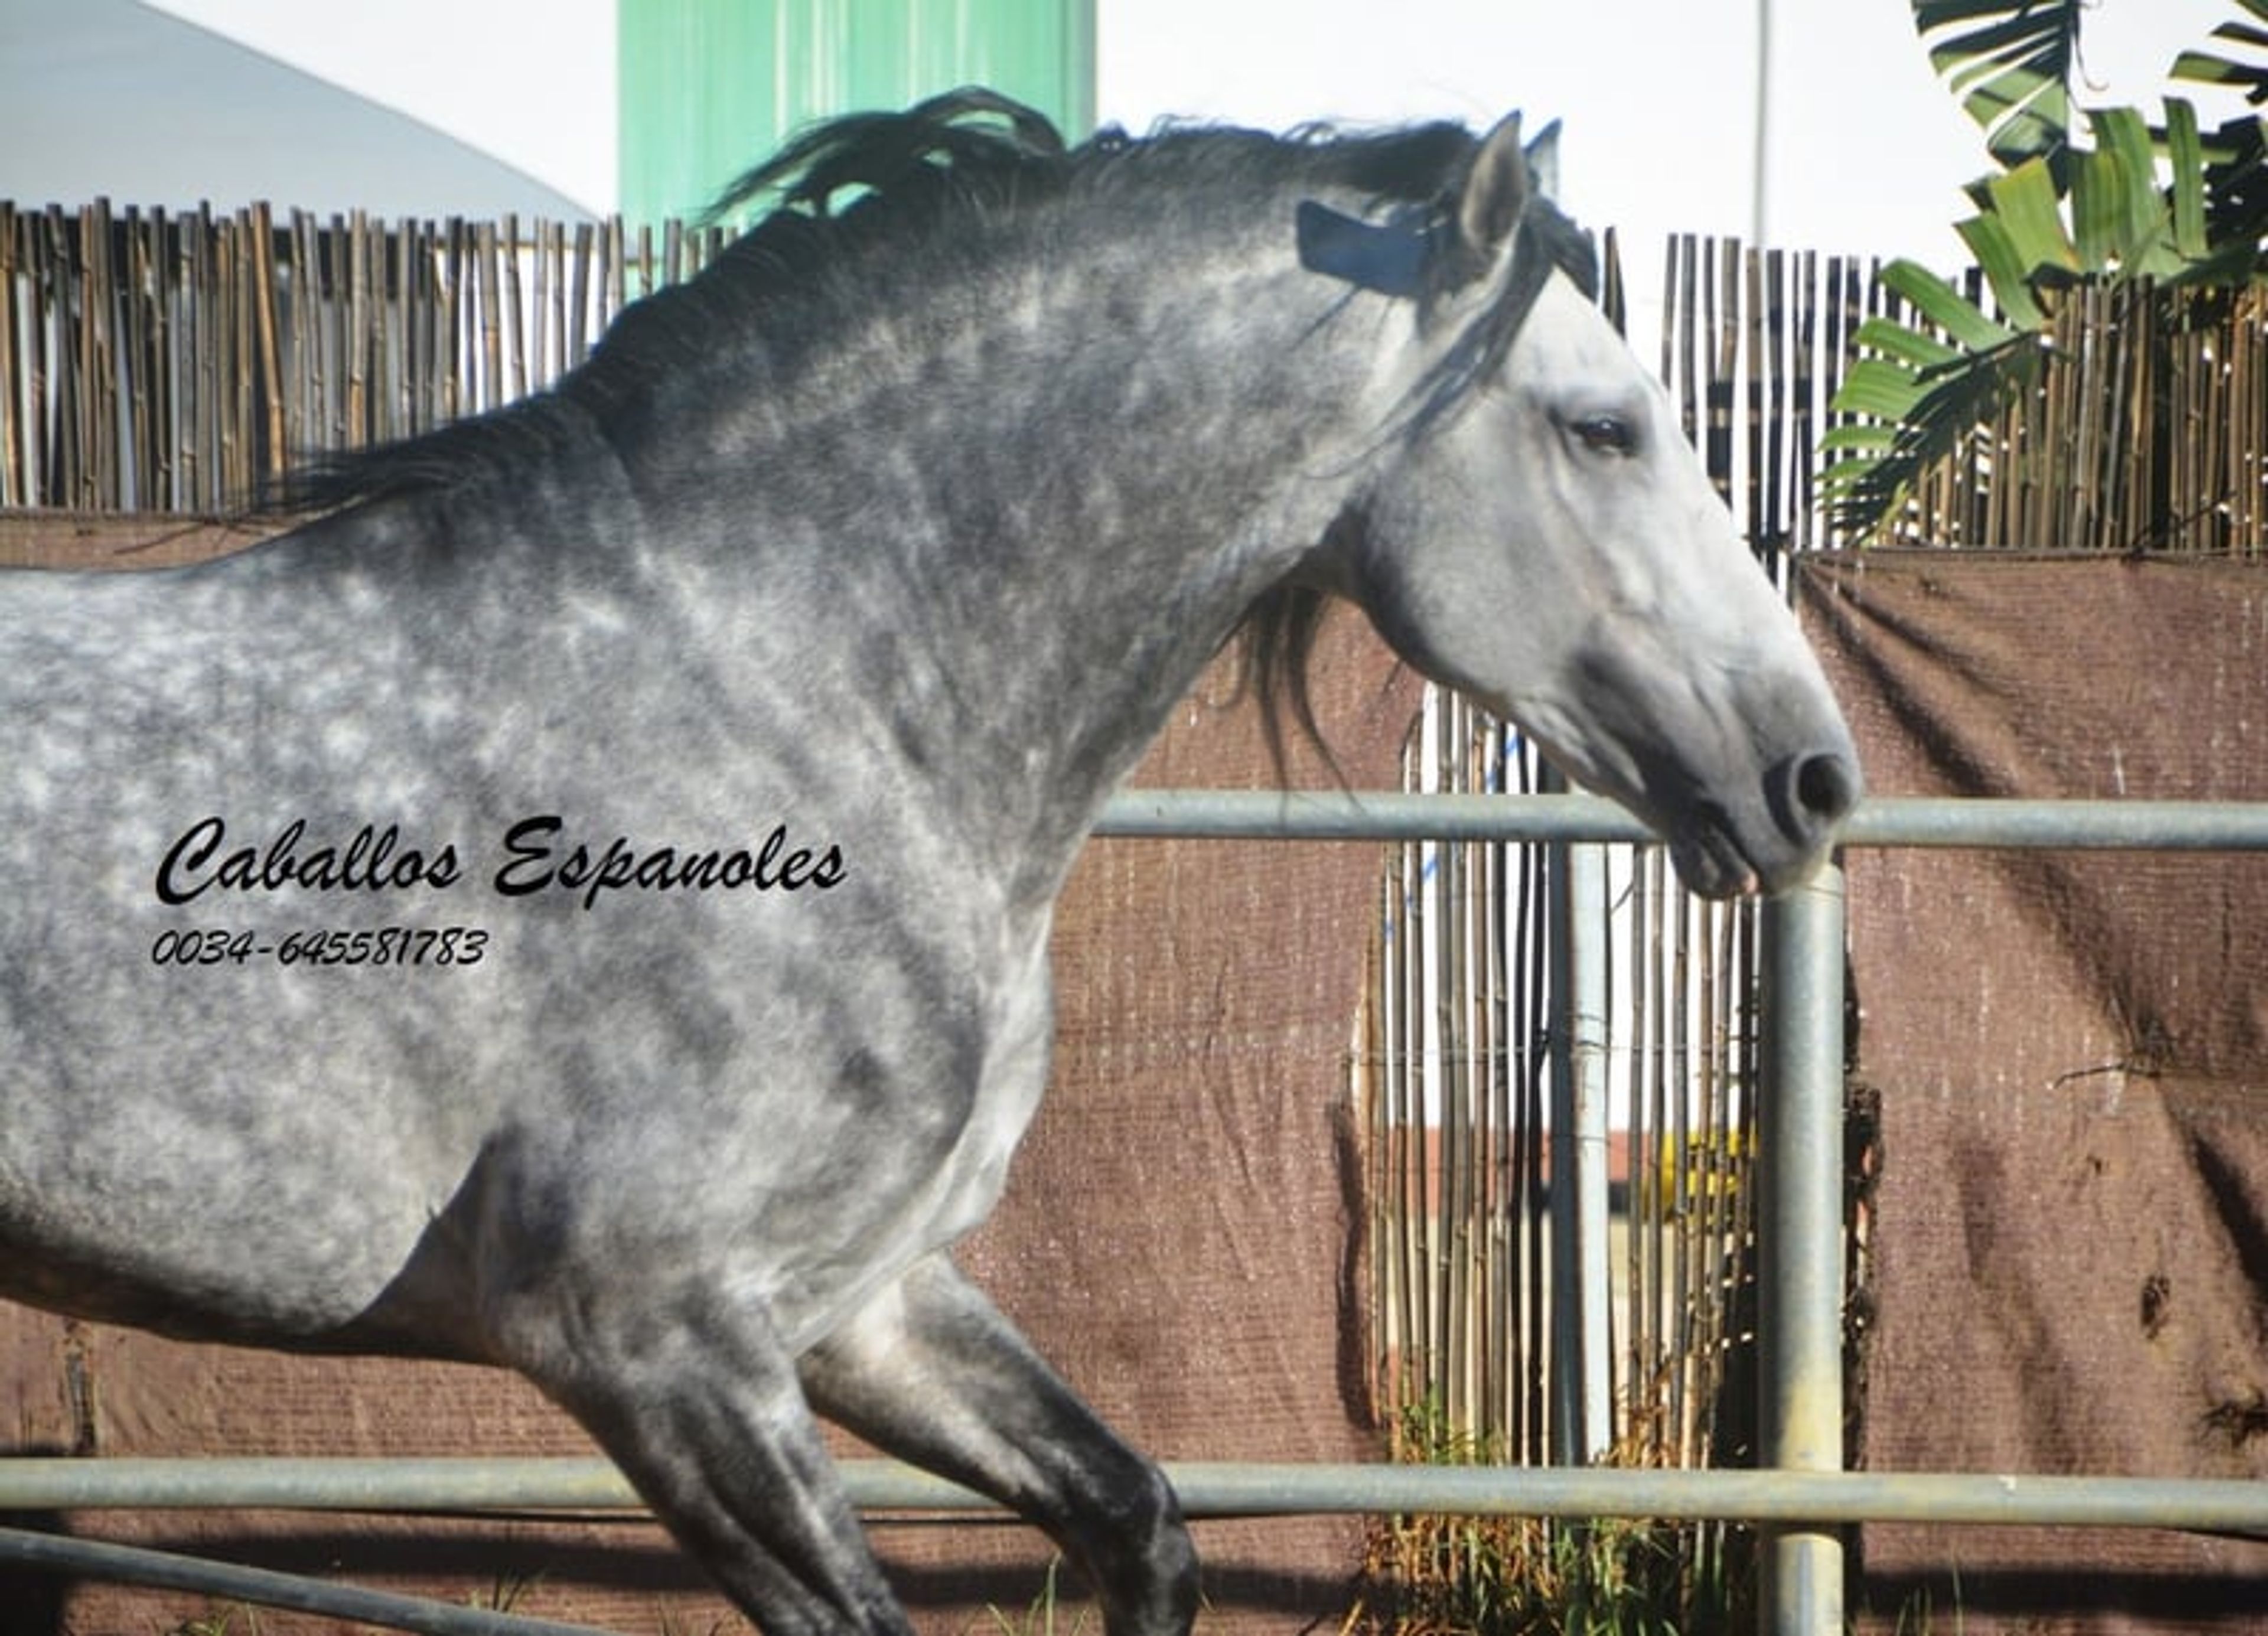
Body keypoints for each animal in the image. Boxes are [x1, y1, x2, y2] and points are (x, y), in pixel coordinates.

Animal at [0, 90, 1858, 1634]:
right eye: (1604, 428)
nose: (1812, 776)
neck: (784, 694)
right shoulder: (647, 1338)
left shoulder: (863, 1301)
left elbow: (1140, 1521)